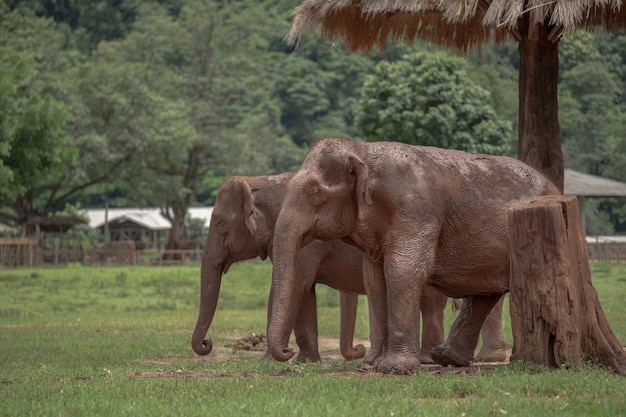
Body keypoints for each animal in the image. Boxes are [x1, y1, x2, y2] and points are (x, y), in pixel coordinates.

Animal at [266, 137, 560, 374]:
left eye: (315, 192)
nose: (287, 352)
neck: (363, 150)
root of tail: (556, 188)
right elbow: (375, 281)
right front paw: (379, 364)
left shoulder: (415, 210)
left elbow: (403, 270)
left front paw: (394, 368)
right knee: (485, 292)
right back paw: (448, 358)